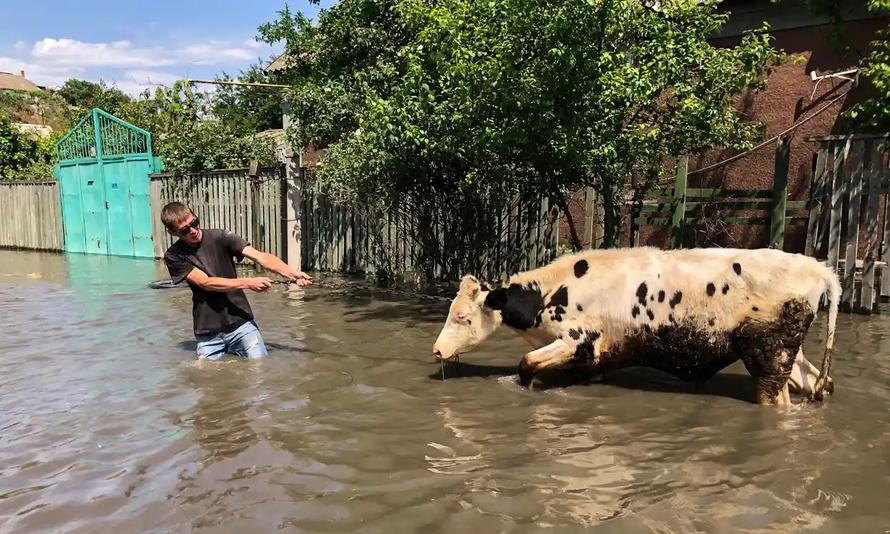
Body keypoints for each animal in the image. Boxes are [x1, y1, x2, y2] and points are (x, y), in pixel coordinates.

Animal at [434, 247, 836, 406]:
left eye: (463, 317)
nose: (437, 350)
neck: (552, 291)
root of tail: (818, 269)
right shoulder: (594, 359)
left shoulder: (577, 340)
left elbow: (526, 364)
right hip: (789, 357)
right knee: (823, 382)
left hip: (769, 357)